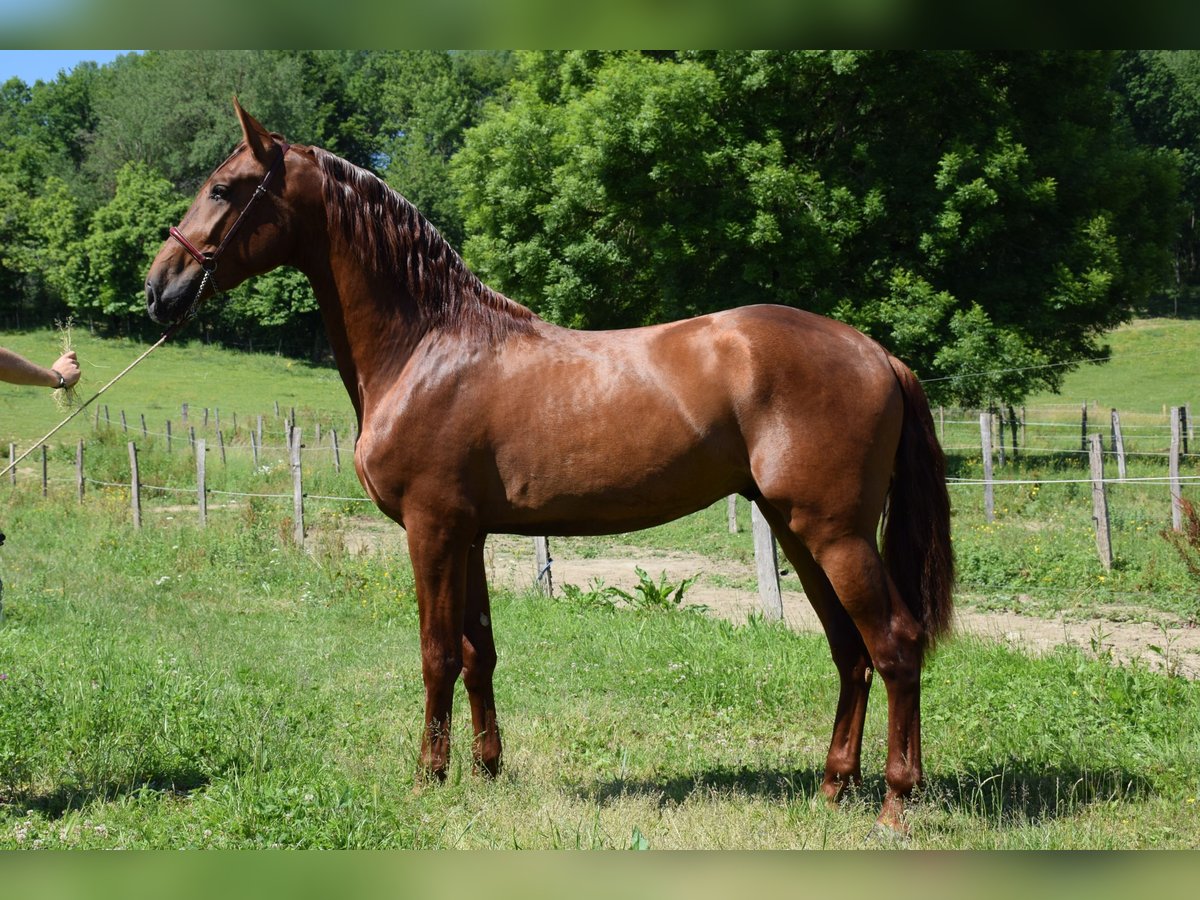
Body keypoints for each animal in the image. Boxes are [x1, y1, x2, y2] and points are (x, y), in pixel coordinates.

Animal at [145, 102, 950, 835]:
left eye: (224, 188)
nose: (158, 290)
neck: (427, 346)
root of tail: (878, 354)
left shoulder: (431, 529)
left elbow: (436, 653)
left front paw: (429, 775)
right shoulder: (468, 534)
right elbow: (479, 654)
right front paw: (487, 768)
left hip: (835, 535)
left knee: (895, 646)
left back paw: (895, 803)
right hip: (798, 532)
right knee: (850, 652)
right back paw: (832, 789)